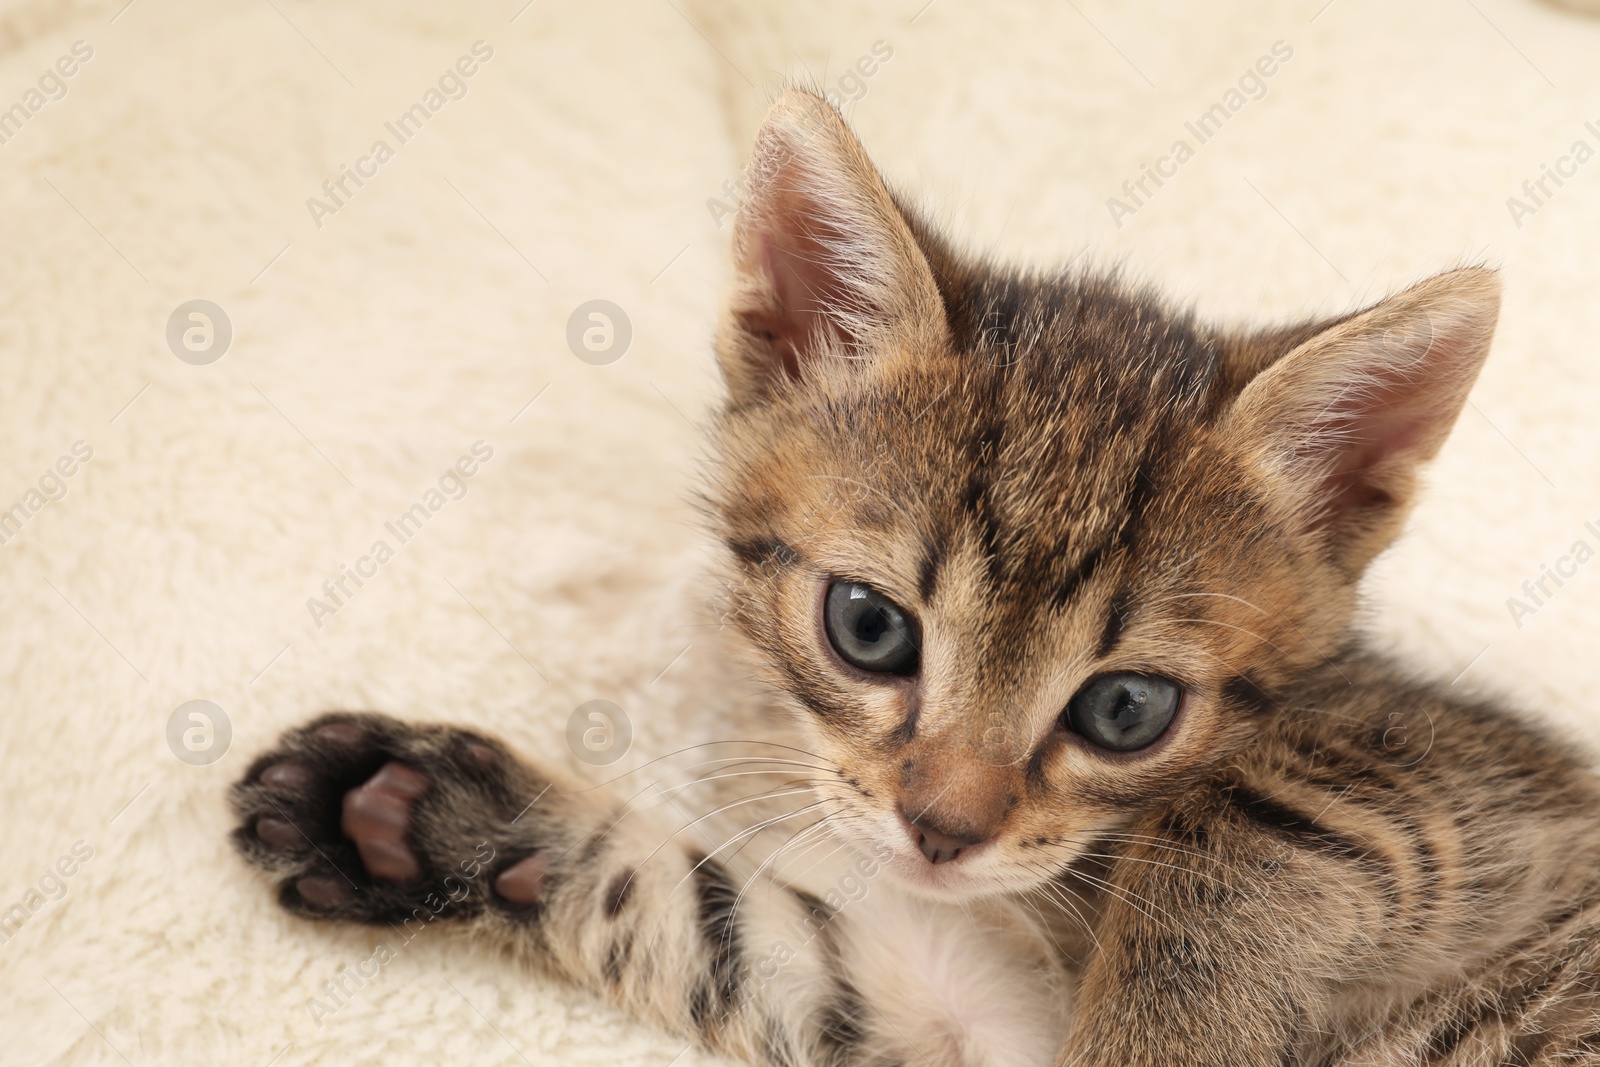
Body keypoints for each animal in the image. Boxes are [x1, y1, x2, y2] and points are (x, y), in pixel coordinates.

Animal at [232, 91, 1600, 1067]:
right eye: (869, 627)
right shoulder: (956, 1005)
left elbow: (1237, 830)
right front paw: (413, 812)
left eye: (1127, 709)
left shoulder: (1427, 779)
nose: (942, 829)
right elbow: (735, 928)